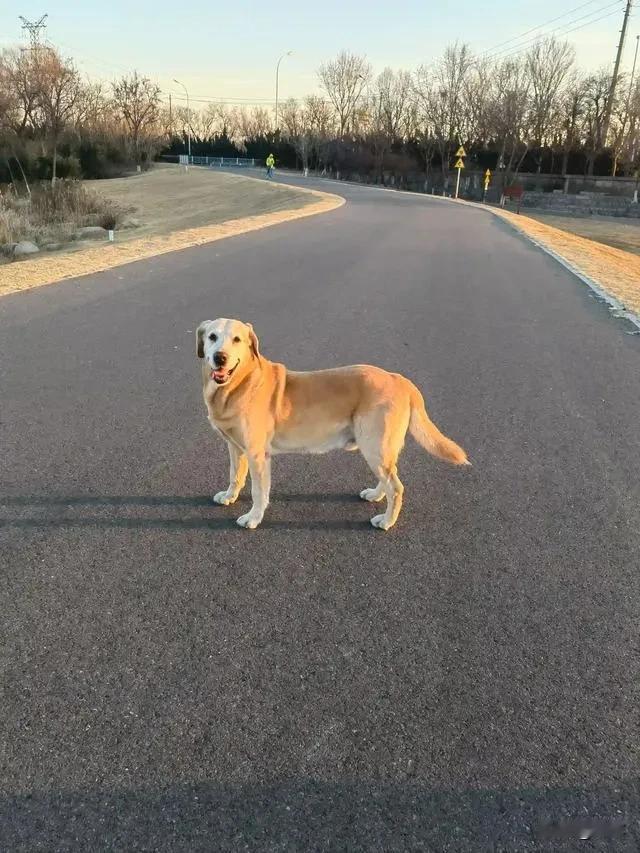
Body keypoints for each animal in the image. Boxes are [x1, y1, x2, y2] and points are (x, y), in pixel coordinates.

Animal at [198, 316, 468, 528]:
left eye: (237, 339)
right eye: (212, 337)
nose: (220, 357)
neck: (239, 384)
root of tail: (399, 379)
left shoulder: (257, 455)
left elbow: (258, 491)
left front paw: (253, 518)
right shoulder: (235, 447)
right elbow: (235, 474)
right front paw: (230, 496)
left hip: (374, 446)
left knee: (396, 487)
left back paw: (386, 521)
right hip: (381, 450)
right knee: (389, 479)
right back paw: (375, 495)